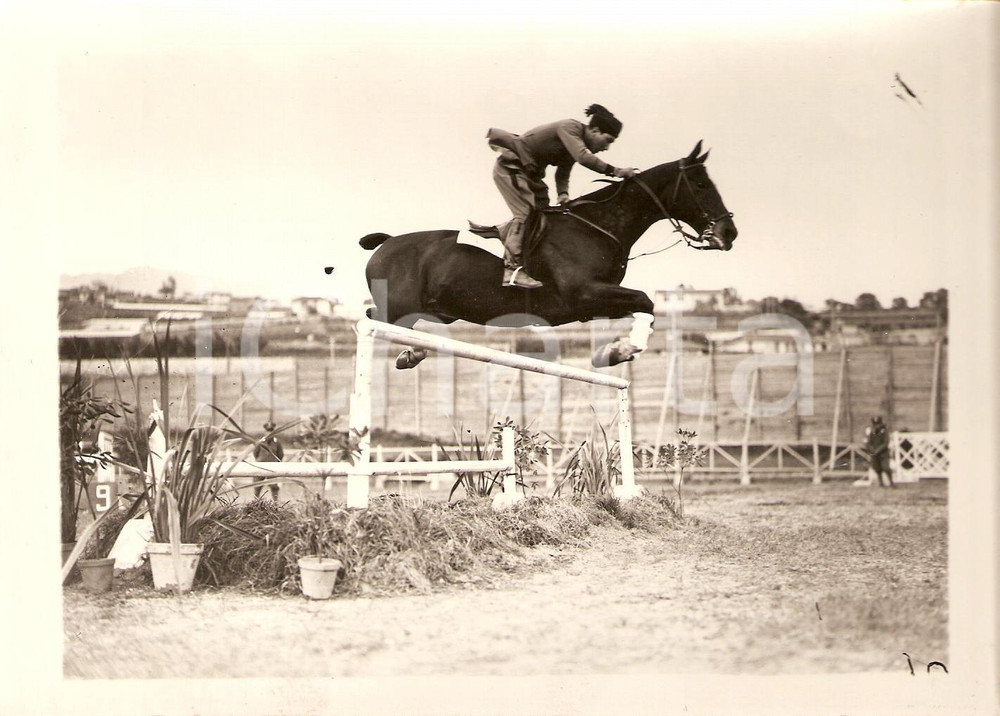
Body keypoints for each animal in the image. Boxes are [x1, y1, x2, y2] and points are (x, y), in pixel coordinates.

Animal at [359, 140, 737, 368]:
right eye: (700, 185)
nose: (729, 233)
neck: (596, 226)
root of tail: (386, 243)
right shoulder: (584, 294)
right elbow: (646, 300)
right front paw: (621, 350)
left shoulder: (594, 303)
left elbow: (644, 306)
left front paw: (613, 350)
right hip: (399, 305)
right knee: (373, 319)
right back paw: (411, 352)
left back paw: (413, 351)